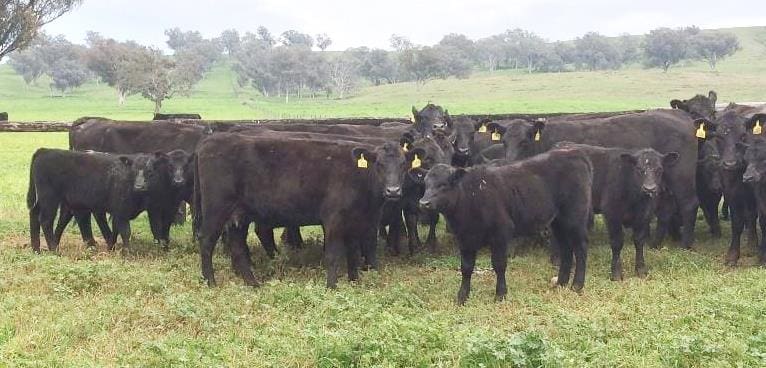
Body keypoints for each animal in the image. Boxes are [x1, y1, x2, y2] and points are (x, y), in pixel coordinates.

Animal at [28, 148, 165, 252]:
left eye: (150, 171)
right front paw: (127, 252)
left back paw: (36, 249)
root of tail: (45, 151)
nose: (139, 186)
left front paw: (111, 247)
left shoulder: (117, 213)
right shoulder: (121, 211)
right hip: (49, 198)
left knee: (34, 214)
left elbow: (115, 230)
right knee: (46, 220)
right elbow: (126, 232)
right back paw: (54, 249)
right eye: (133, 170)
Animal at [195, 134, 416, 288]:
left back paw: (253, 284)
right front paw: (332, 287)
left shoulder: (360, 222)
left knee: (238, 248)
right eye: (379, 164)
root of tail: (207, 142)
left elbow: (355, 254)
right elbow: (333, 255)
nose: (393, 191)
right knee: (206, 242)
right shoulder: (333, 220)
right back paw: (210, 282)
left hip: (239, 215)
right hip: (216, 209)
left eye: (404, 164)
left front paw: (355, 282)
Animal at [420, 148, 592, 304]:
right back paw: (561, 283)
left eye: (443, 184)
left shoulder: (500, 234)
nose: (423, 203)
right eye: (425, 184)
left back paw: (577, 285)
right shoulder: (465, 239)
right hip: (559, 222)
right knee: (566, 249)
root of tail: (573, 152)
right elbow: (466, 267)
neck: (472, 196)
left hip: (575, 217)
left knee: (580, 248)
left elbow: (499, 264)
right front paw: (462, 296)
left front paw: (500, 294)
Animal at [492, 109, 704, 250]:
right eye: (504, 142)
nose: (509, 164)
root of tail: (682, 116)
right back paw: (654, 244)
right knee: (666, 210)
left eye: (524, 142)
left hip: (681, 177)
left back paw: (686, 244)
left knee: (689, 204)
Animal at [556, 142, 680, 280]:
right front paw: (616, 273)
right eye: (639, 169)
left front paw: (641, 269)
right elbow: (617, 242)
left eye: (659, 169)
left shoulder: (644, 215)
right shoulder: (612, 213)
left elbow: (639, 241)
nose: (649, 188)